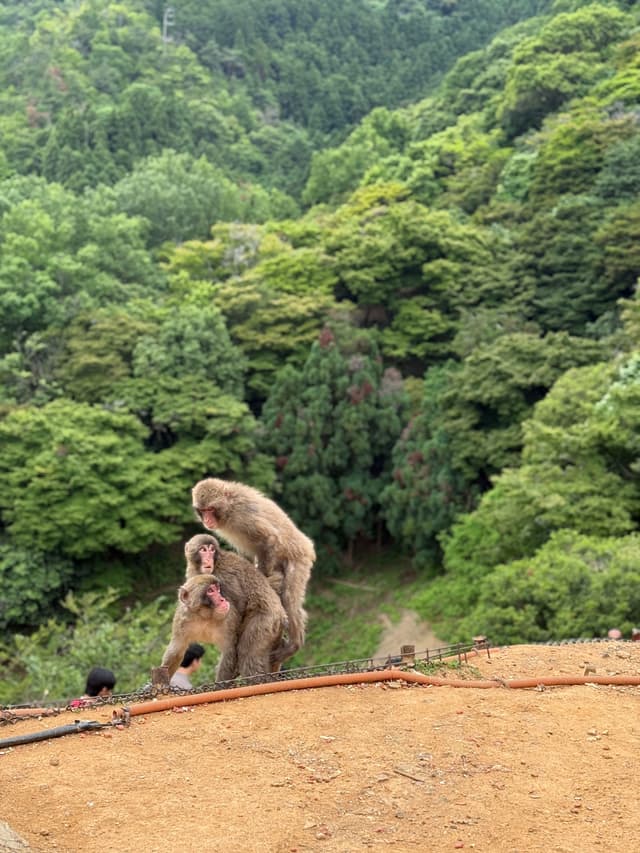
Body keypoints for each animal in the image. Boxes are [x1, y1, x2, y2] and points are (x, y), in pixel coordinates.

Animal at [192, 478, 315, 666]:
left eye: (211, 510)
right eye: (203, 510)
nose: (206, 519)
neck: (229, 509)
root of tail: (307, 546)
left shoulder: (243, 515)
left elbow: (271, 538)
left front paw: (262, 580)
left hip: (299, 559)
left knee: (289, 598)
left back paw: (294, 645)